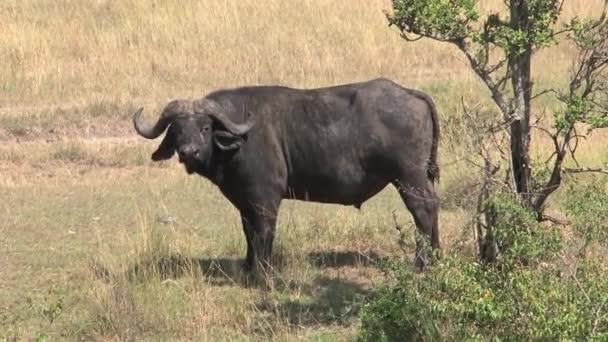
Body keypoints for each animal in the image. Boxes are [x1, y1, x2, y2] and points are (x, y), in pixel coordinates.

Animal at [131, 77, 440, 272]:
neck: (239, 140)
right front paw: (248, 267)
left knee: (422, 213)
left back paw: (419, 263)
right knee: (433, 207)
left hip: (408, 178)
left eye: (204, 128)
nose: (189, 152)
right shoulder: (244, 203)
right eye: (177, 130)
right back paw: (436, 258)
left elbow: (263, 233)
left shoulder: (265, 199)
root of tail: (409, 93)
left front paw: (263, 271)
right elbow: (248, 232)